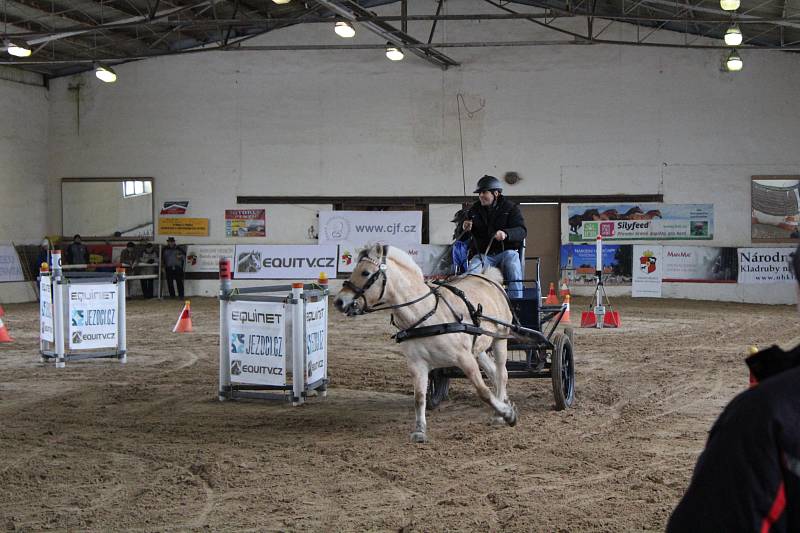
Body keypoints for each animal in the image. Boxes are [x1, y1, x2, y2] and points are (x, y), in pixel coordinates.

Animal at [332, 243, 516, 442]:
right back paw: (505, 402)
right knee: (493, 373)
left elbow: (482, 391)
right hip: (479, 348)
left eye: (365, 272)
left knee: (502, 373)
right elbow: (419, 397)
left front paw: (508, 415)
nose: (338, 301)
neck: (425, 315)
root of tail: (489, 278)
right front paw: (420, 430)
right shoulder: (417, 364)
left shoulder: (464, 358)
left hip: (500, 339)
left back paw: (500, 414)